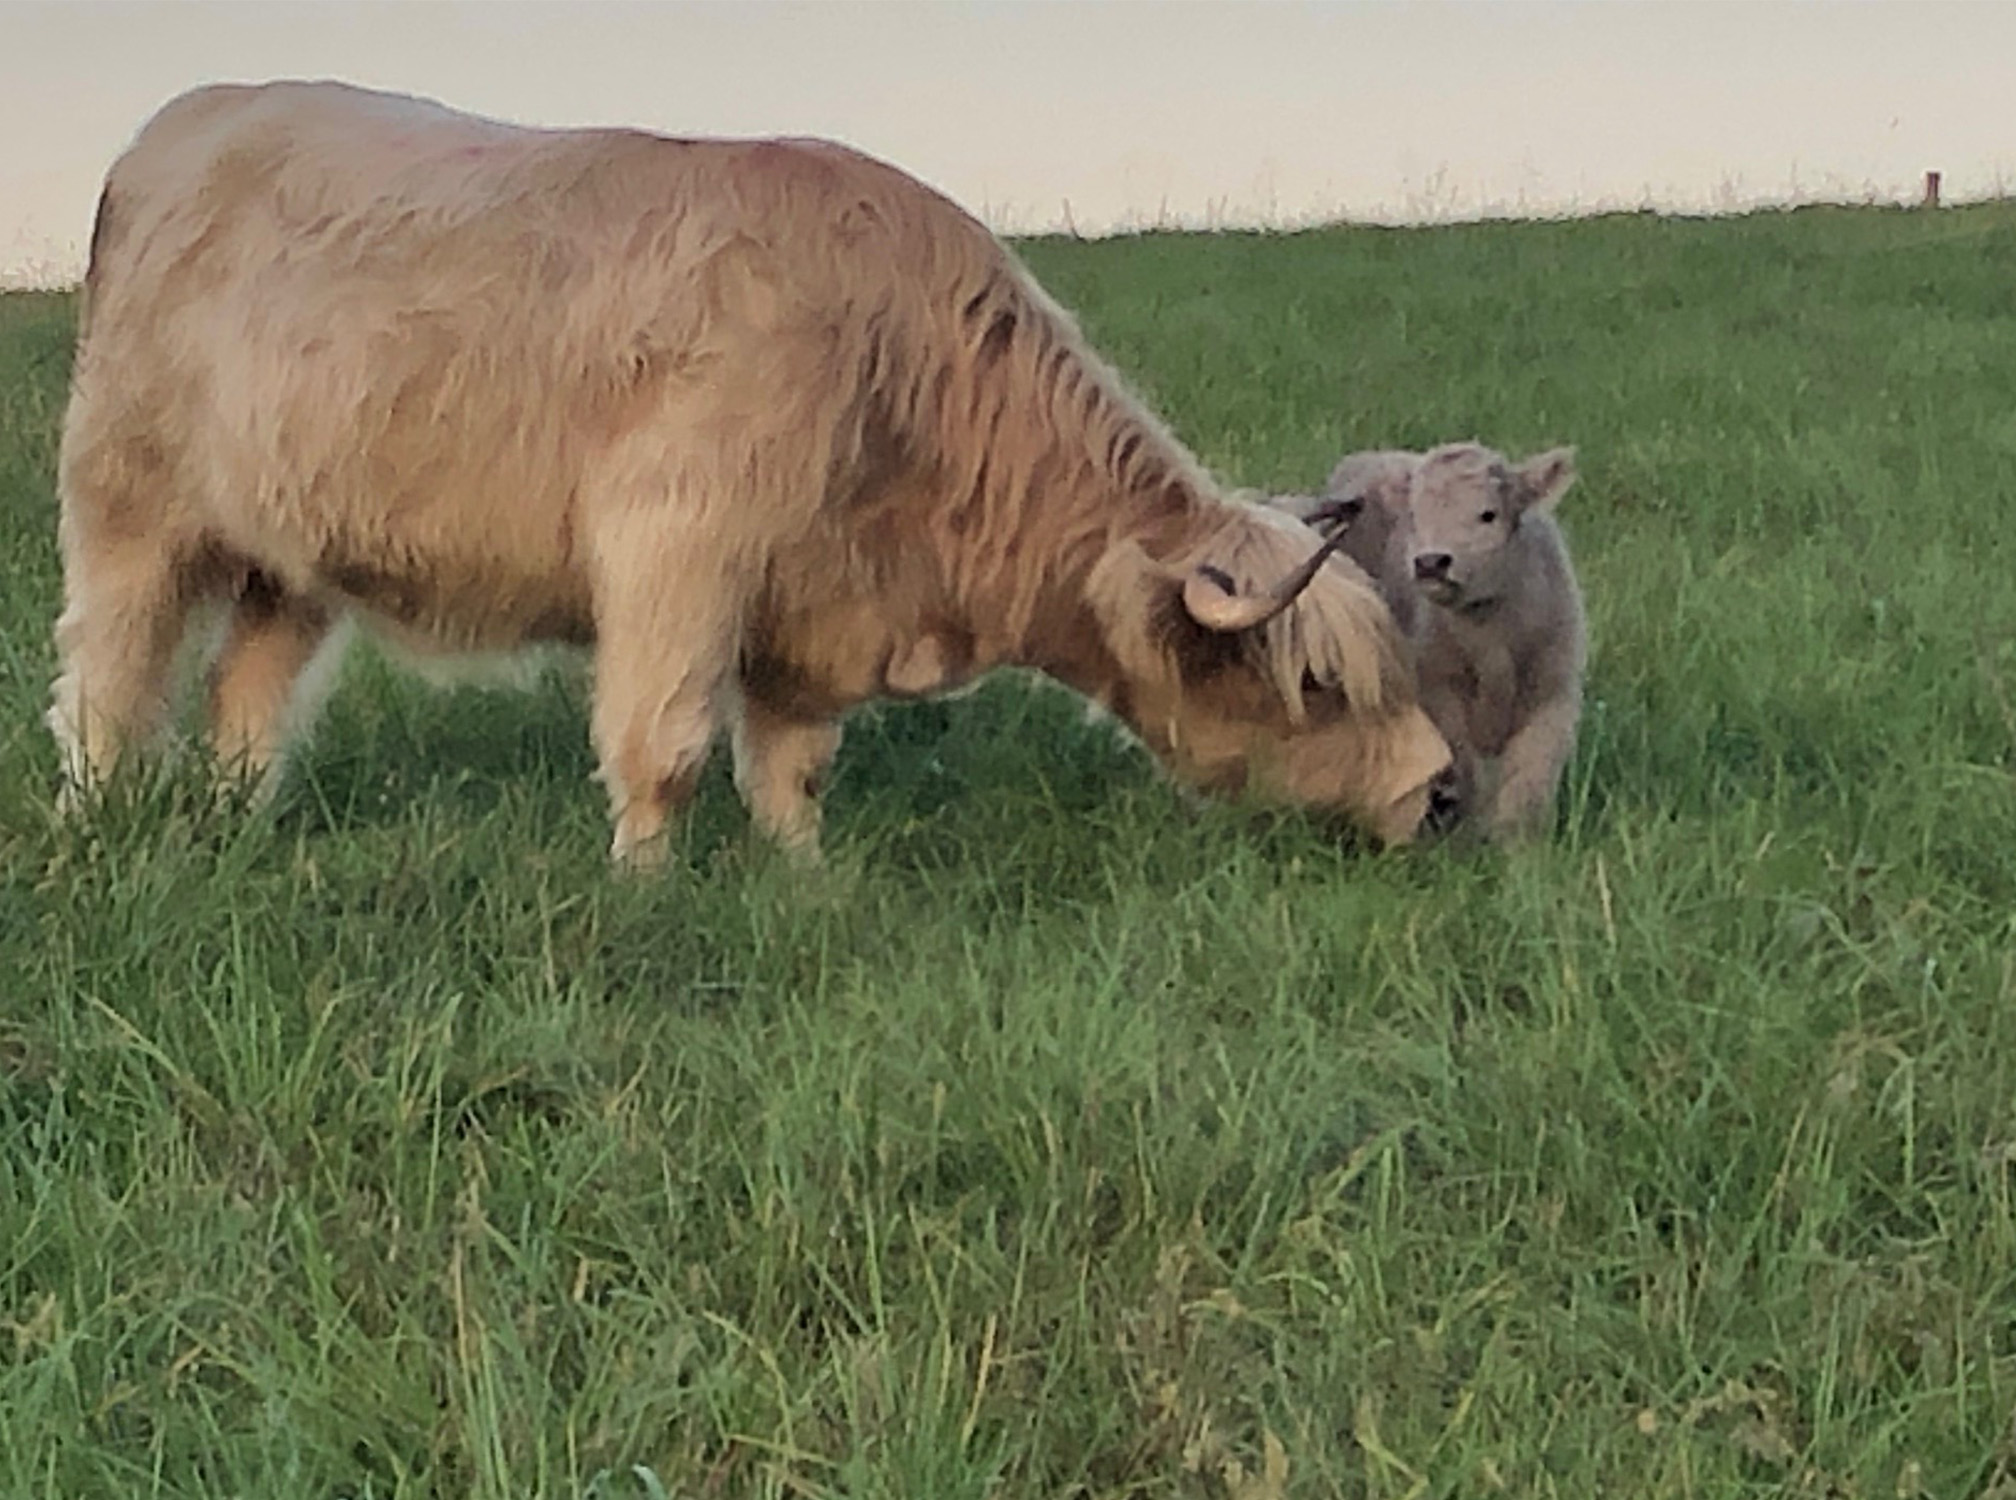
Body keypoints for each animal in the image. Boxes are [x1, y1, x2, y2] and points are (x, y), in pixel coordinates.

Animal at [50, 80, 1452, 867]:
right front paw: (643, 887)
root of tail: (184, 121)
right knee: (108, 682)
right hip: (129, 510)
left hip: (288, 557)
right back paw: (96, 823)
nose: (1440, 793)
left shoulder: (809, 610)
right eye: (1318, 685)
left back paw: (242, 823)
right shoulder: (677, 557)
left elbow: (792, 764)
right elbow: (663, 746)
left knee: (245, 696)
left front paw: (802, 879)